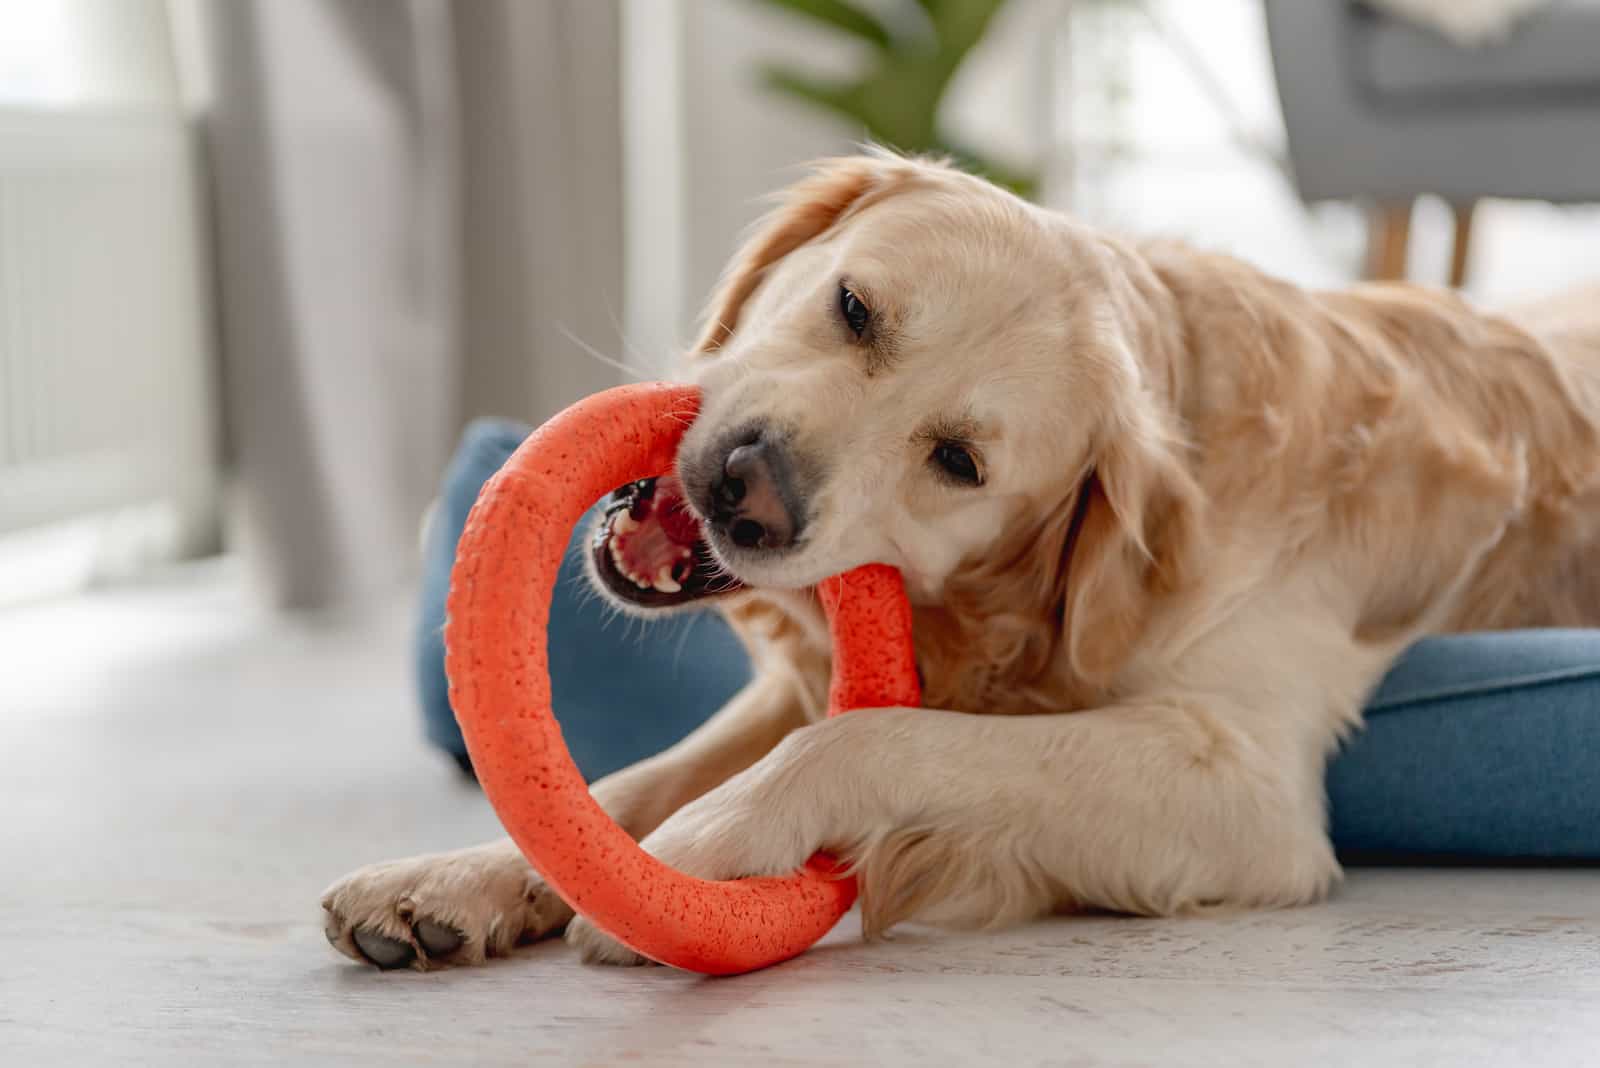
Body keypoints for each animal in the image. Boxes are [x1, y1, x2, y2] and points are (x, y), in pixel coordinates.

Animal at [318, 151, 1600, 978]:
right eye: (852, 307)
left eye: (958, 462)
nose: (747, 487)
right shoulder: (782, 689)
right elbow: (623, 782)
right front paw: (451, 880)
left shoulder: (1244, 784)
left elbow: (875, 738)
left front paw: (697, 853)